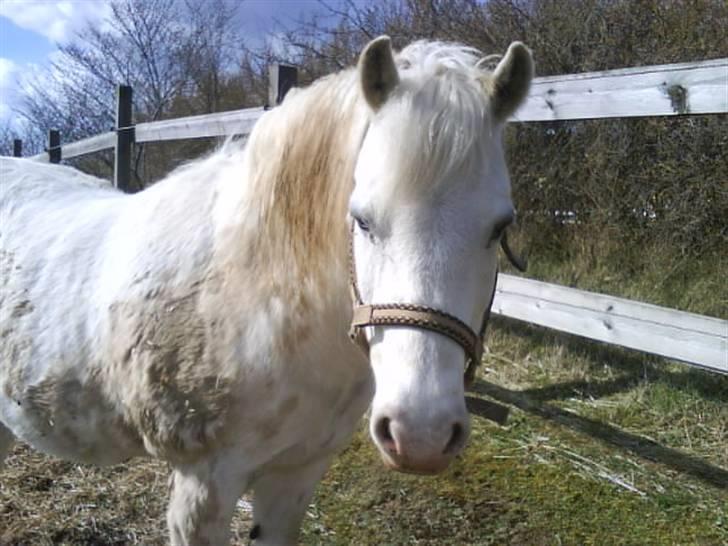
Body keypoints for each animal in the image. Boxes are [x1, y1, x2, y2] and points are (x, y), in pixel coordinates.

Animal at [1, 36, 536, 540]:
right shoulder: (203, 489)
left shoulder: (296, 475)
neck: (259, 303)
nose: (420, 435)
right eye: (362, 219)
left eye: (499, 227)